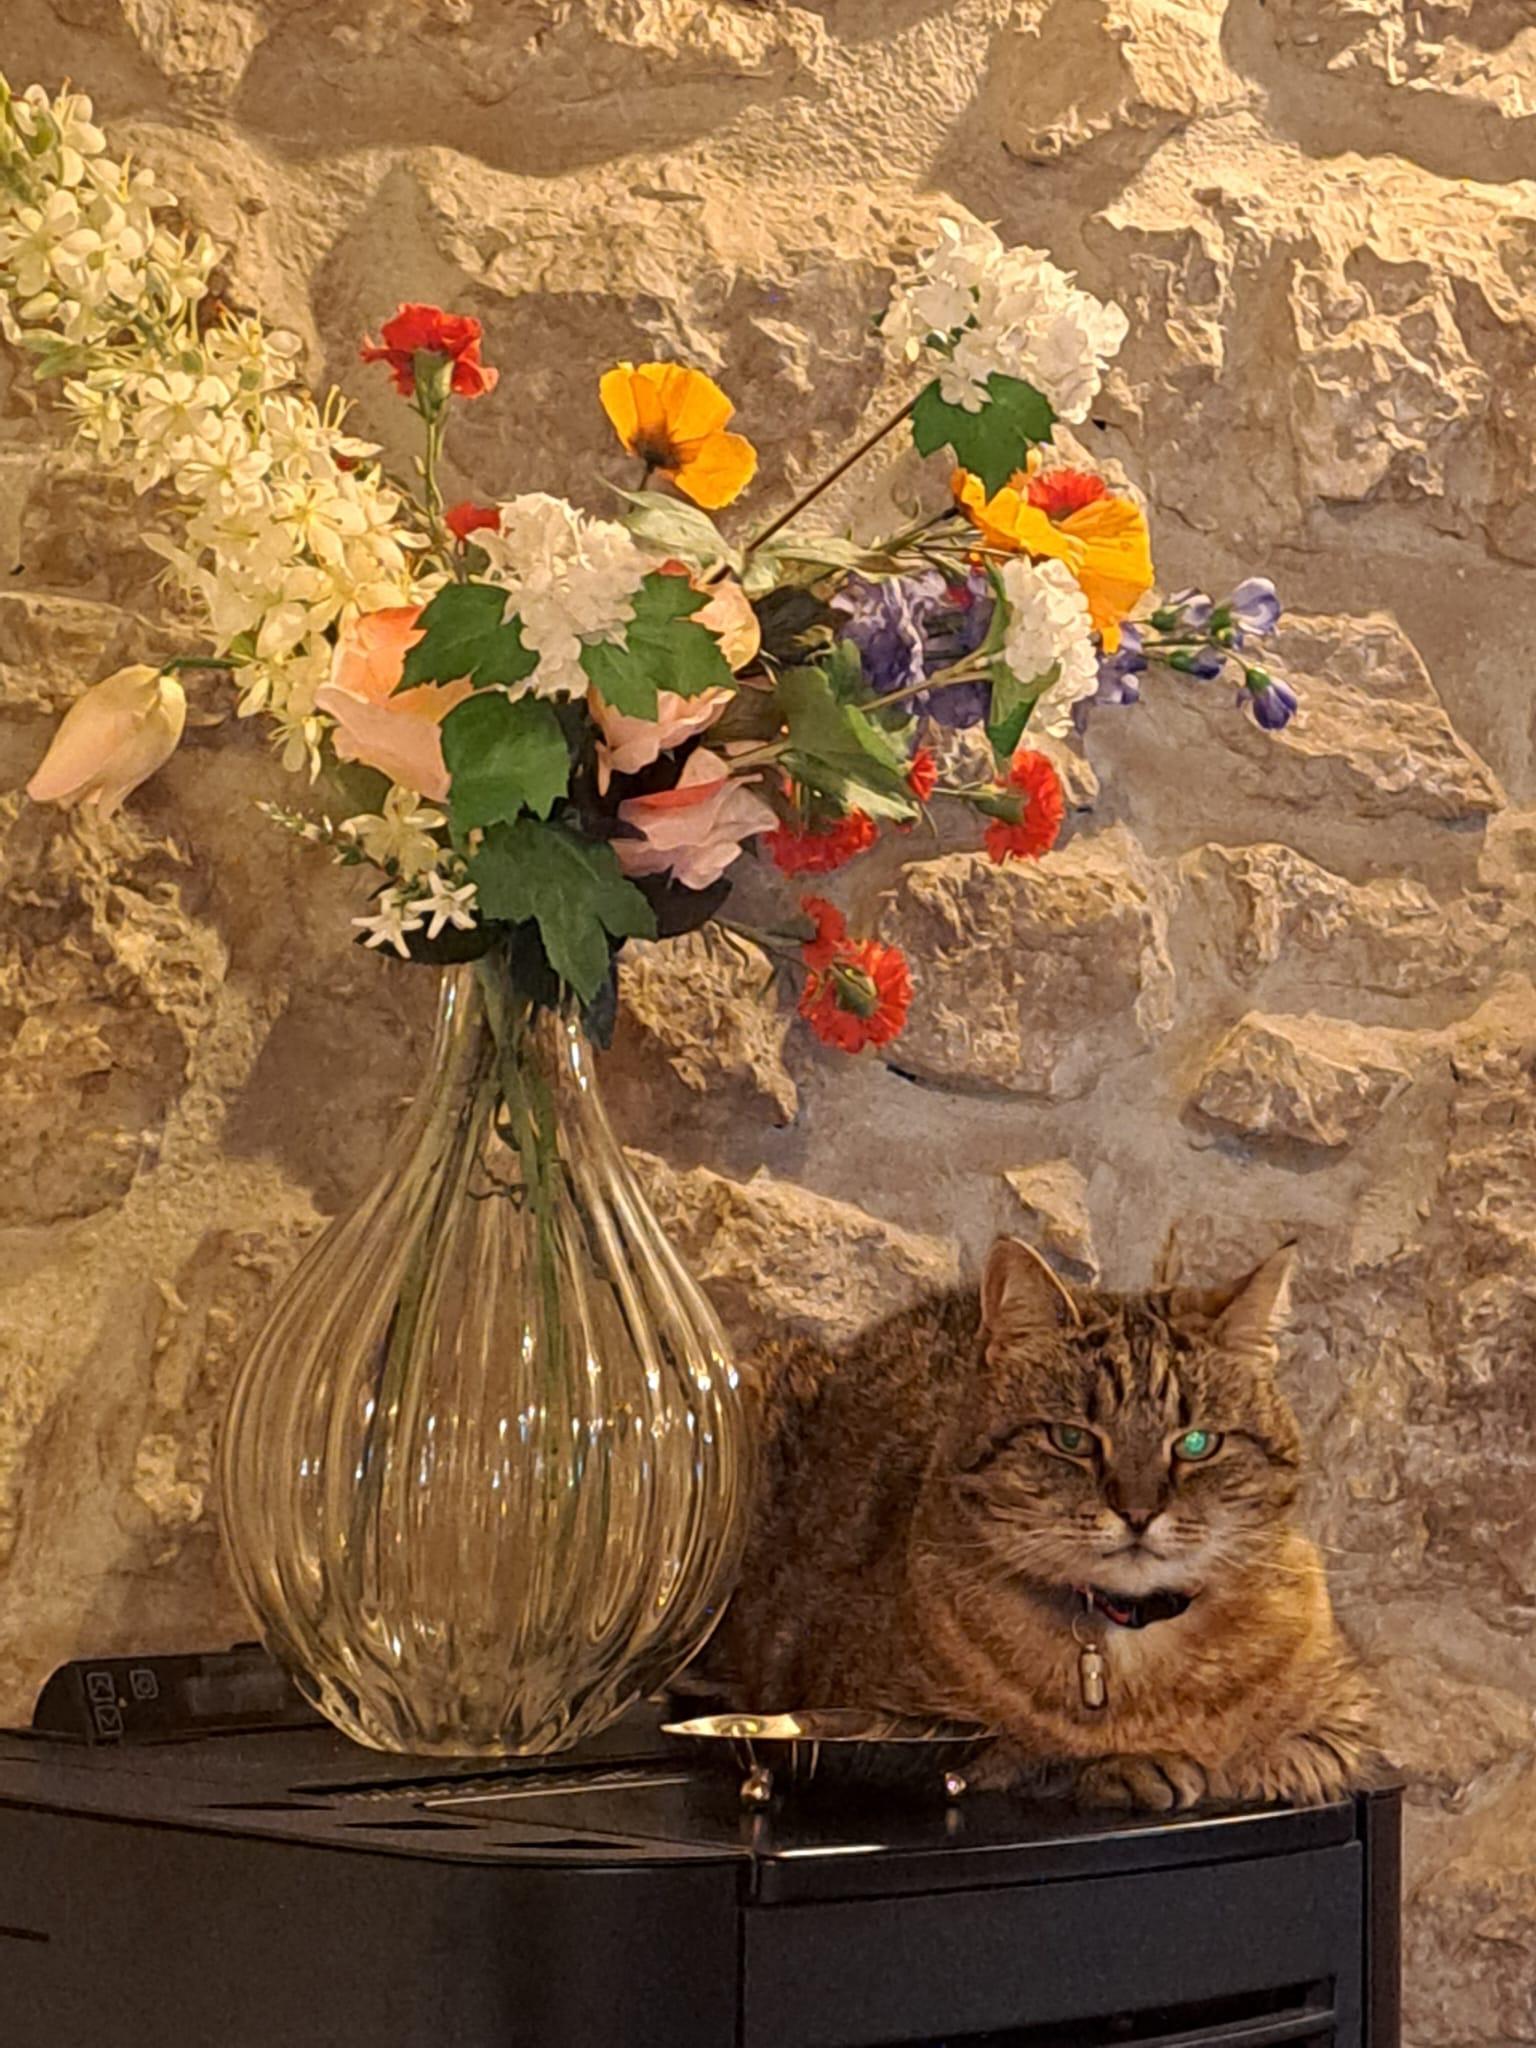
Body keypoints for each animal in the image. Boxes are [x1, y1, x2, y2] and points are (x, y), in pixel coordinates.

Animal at [717, 1237, 1375, 1811]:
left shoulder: (1355, 1713)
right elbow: (1026, 1753)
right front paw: (1138, 1764)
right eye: (1071, 1439)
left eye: (1196, 1443)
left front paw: (1254, 1761)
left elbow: (1308, 1749)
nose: (1138, 1512)